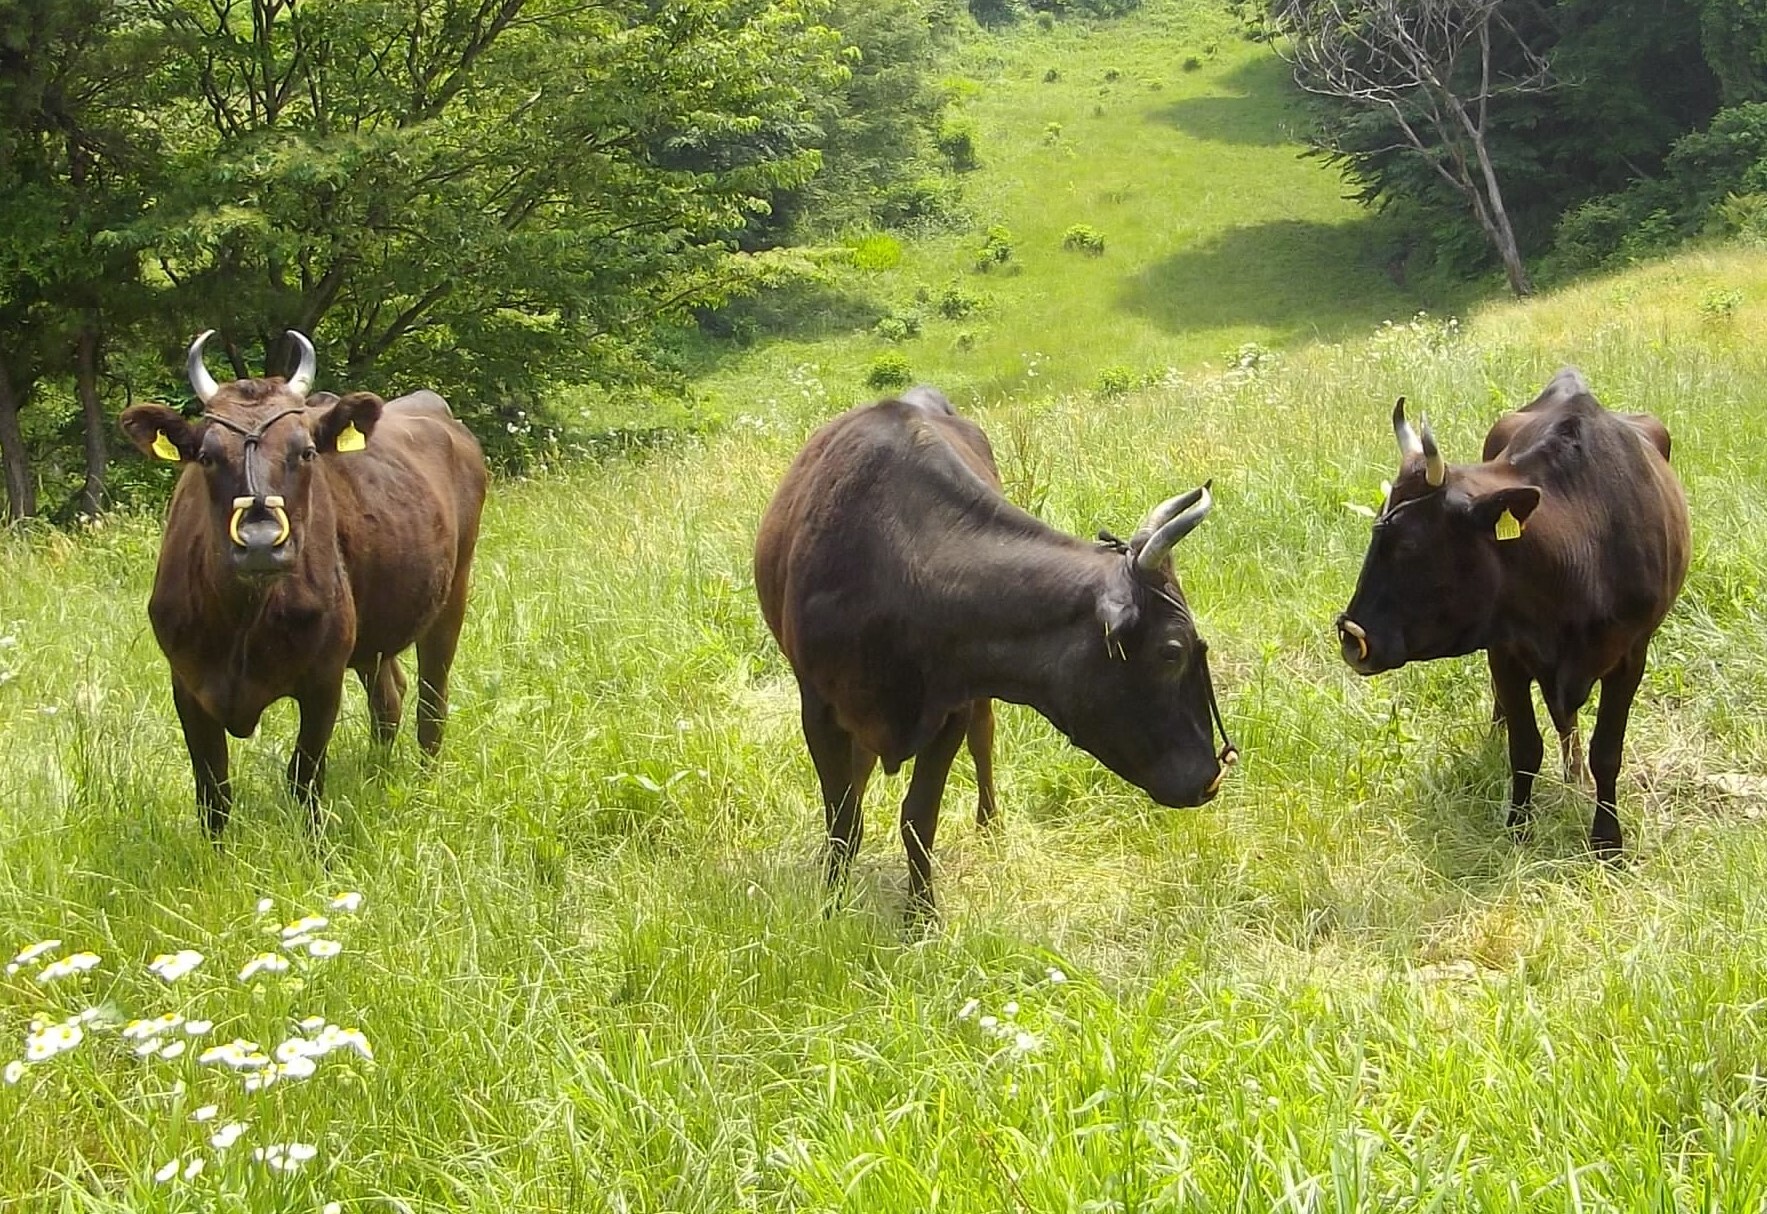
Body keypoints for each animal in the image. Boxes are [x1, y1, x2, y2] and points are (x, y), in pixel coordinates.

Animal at [121, 326, 487, 834]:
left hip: (452, 596)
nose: (259, 541)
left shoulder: (323, 679)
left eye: (306, 451)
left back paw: (426, 783)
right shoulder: (187, 684)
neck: (243, 619)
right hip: (374, 635)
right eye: (207, 457)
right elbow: (213, 793)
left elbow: (305, 777)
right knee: (389, 698)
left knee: (431, 703)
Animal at [752, 385, 1236, 918]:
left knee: (983, 739)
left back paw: (990, 826)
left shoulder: (953, 704)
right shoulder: (816, 704)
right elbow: (843, 820)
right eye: (1172, 651)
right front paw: (833, 906)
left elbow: (919, 819)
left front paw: (920, 918)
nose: (1209, 776)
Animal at [1328, 371, 1689, 855]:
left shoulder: (1632, 654)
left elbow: (1607, 752)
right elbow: (1525, 748)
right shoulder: (1505, 650)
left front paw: (1607, 841)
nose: (1353, 639)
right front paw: (1518, 827)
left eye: (1409, 546)